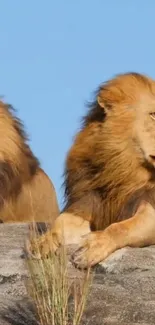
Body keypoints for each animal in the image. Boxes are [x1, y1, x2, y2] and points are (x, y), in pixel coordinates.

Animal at [28, 72, 155, 268]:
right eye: (153, 115)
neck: (122, 168)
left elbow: (121, 227)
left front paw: (92, 247)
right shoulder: (87, 203)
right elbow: (60, 222)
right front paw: (44, 241)